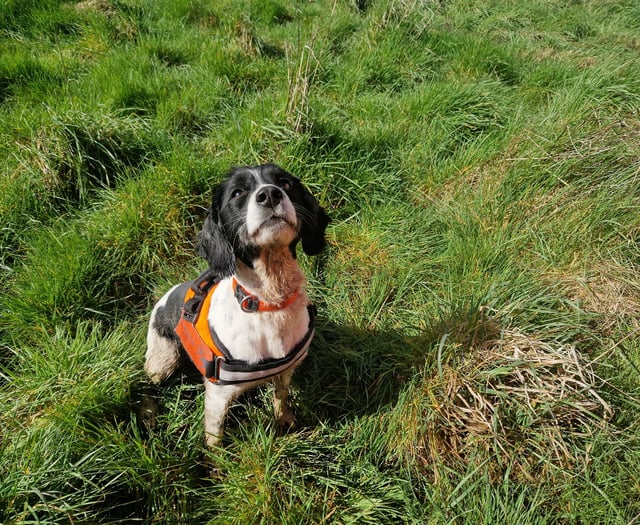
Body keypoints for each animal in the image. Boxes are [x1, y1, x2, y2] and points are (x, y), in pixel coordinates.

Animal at [144, 164, 330, 446]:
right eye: (238, 193)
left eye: (285, 183)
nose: (270, 194)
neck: (267, 305)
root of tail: (164, 297)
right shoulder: (218, 395)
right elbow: (214, 436)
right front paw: (218, 458)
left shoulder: (286, 370)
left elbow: (281, 395)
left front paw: (285, 419)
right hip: (161, 362)